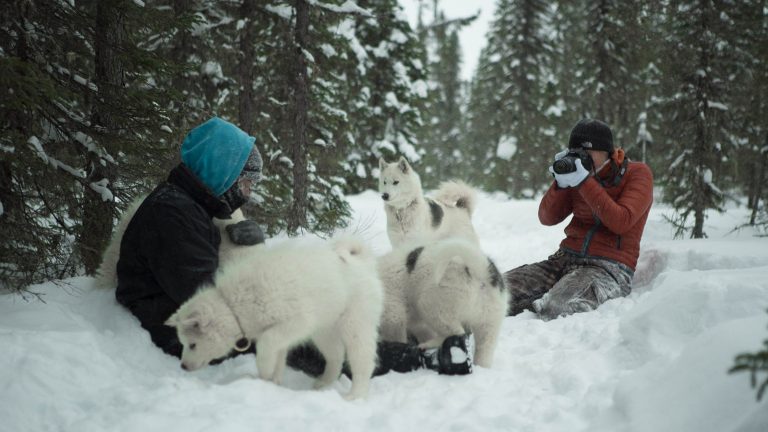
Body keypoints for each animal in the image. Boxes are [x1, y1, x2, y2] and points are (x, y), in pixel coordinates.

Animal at [166, 238, 384, 400]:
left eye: (192, 345)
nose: (183, 366)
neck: (233, 305)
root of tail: (362, 263)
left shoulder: (295, 323)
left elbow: (266, 345)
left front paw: (263, 372)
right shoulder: (282, 333)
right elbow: (278, 357)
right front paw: (272, 382)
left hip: (355, 325)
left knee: (363, 361)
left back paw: (355, 395)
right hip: (324, 329)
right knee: (336, 355)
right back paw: (323, 383)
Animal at [378, 238, 510, 366]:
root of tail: (480, 271)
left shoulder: (393, 315)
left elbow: (395, 336)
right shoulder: (416, 322)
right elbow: (422, 331)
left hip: (432, 307)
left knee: (458, 334)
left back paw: (429, 344)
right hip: (489, 322)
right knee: (484, 349)